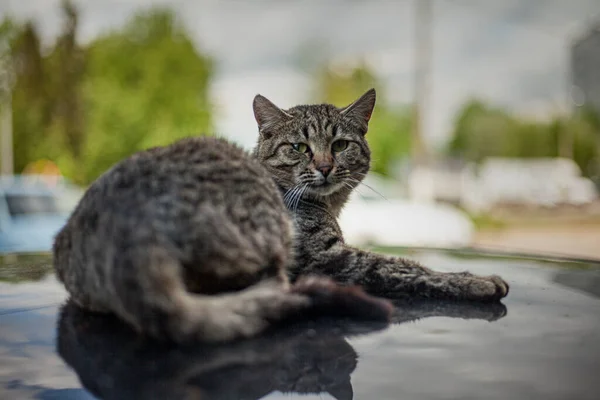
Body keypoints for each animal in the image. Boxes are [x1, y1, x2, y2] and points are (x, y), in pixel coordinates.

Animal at [251, 87, 508, 300]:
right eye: (300, 147)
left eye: (340, 145)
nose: (324, 167)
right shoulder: (325, 260)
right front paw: (474, 281)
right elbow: (407, 268)